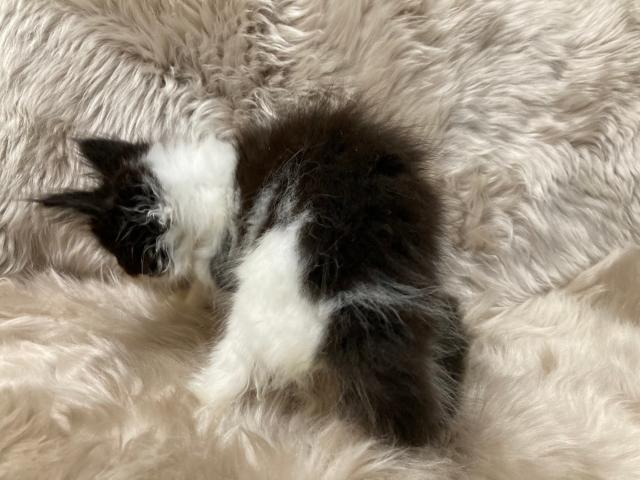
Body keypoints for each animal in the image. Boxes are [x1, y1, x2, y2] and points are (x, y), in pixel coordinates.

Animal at [40, 102, 468, 447]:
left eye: (129, 254)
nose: (131, 275)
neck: (206, 187)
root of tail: (350, 284)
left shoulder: (221, 254)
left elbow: (202, 283)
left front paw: (185, 303)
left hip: (265, 289)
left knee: (236, 365)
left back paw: (195, 400)